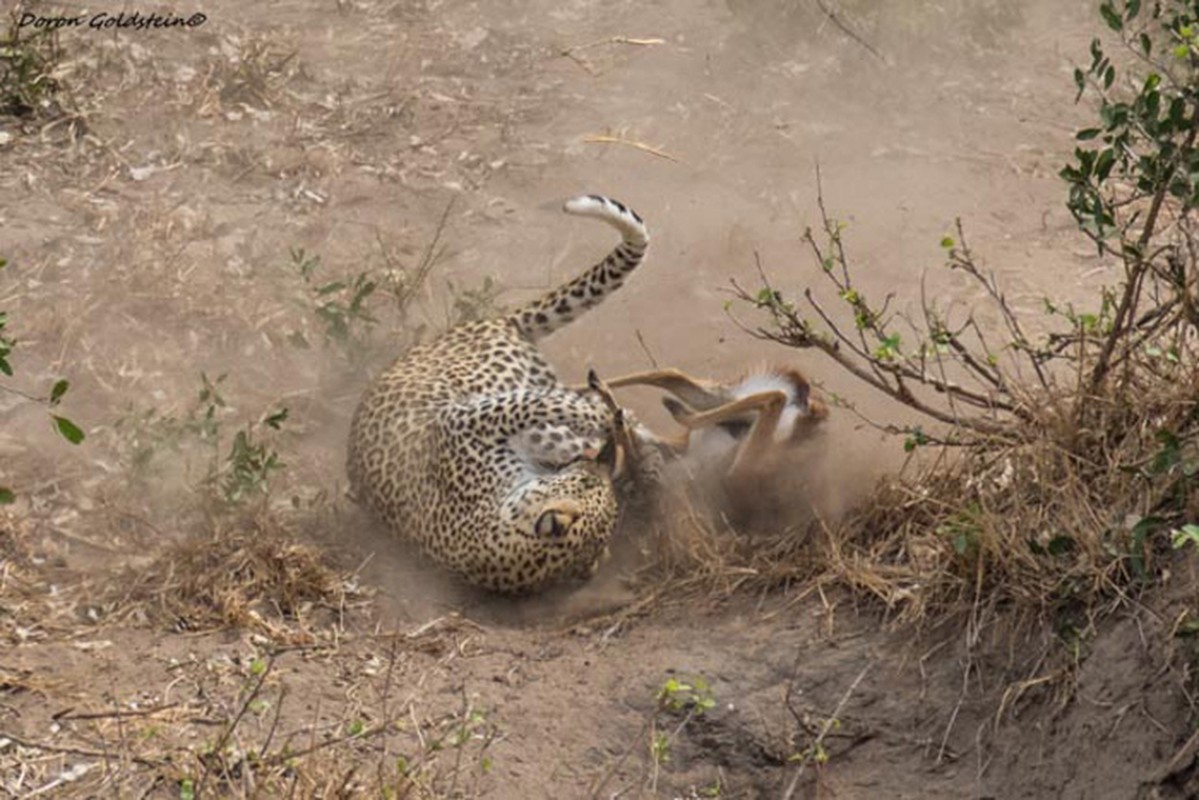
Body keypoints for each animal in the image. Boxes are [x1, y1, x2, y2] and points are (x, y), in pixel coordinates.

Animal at [350, 194, 657, 594]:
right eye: (588, 483)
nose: (600, 461)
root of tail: (494, 322)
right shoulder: (462, 420)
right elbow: (530, 404)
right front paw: (602, 420)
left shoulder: (466, 419)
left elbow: (528, 404)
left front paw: (608, 426)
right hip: (529, 414)